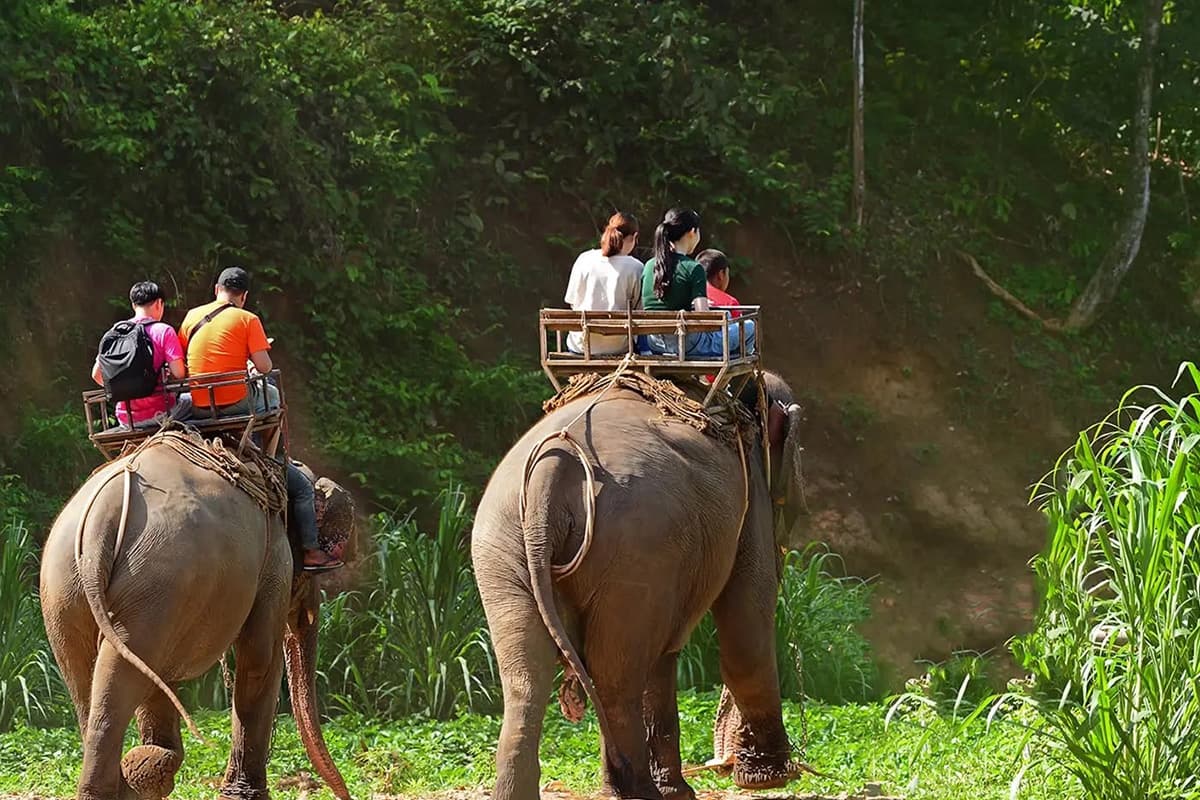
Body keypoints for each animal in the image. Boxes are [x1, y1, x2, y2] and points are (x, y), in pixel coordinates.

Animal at [39, 438, 352, 800]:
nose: (344, 794)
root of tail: (101, 519)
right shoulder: (274, 560)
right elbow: (259, 660)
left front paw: (150, 767)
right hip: (155, 577)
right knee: (123, 671)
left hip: (66, 587)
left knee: (92, 677)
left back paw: (133, 776)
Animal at [471, 371, 804, 800]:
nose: (725, 762)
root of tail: (553, 467)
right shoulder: (752, 496)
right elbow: (746, 623)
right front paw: (772, 778)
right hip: (636, 546)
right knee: (615, 678)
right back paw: (638, 792)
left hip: (503, 547)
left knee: (526, 677)